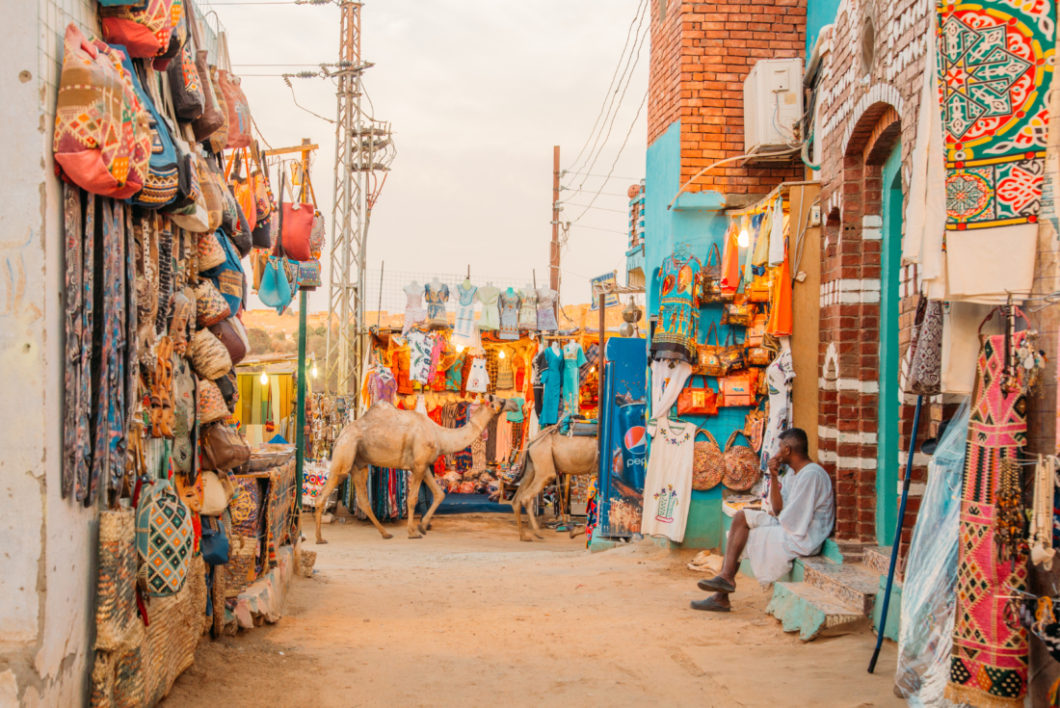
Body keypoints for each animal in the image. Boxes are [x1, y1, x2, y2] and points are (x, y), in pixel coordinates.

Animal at [311, 392, 515, 542]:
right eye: (500, 400)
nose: (514, 404)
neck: (440, 436)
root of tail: (340, 436)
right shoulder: (418, 465)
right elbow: (412, 499)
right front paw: (413, 532)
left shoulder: (423, 465)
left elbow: (439, 494)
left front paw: (422, 526)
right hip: (345, 454)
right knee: (324, 492)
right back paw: (319, 538)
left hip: (359, 464)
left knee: (363, 500)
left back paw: (385, 533)